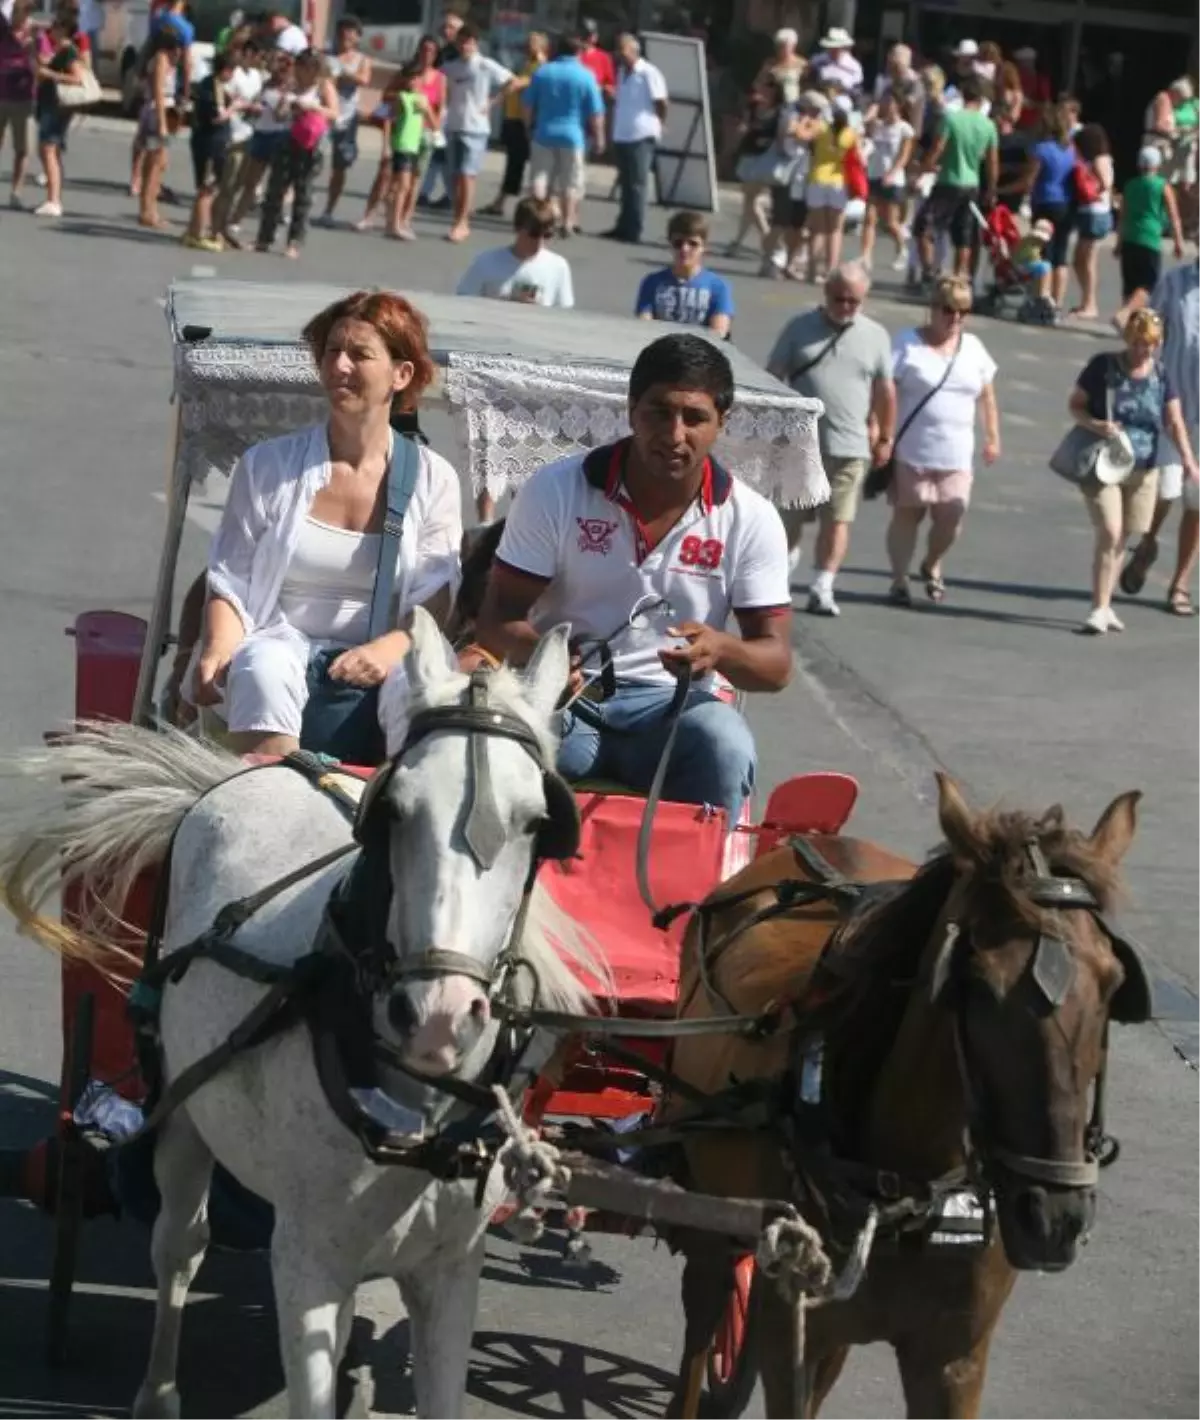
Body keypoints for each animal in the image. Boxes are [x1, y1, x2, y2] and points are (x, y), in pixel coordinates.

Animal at [0, 613, 599, 1420]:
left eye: (539, 822)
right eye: (396, 810)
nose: (437, 1016)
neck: (414, 1118)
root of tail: (268, 769)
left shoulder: (450, 1272)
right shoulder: (308, 1263)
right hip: (183, 1112)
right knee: (179, 1246)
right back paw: (158, 1389)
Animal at [670, 778, 1147, 1420]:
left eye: (1114, 982)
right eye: (977, 984)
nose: (1054, 1218)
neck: (909, 1190)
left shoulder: (953, 1360)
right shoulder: (789, 1335)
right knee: (703, 1307)